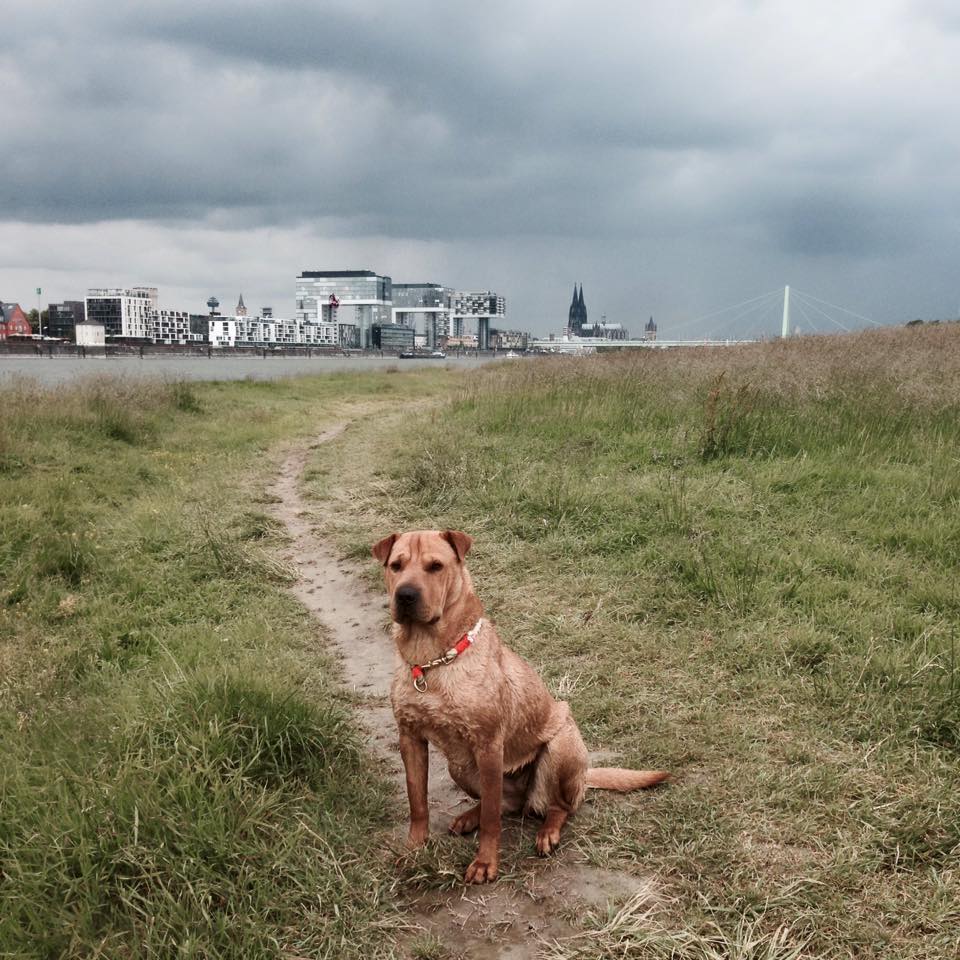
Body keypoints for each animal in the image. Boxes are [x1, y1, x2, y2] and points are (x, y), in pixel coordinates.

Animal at [370, 528, 668, 880]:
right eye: (396, 566)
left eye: (435, 566)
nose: (405, 595)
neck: (431, 661)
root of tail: (585, 776)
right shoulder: (410, 738)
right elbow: (417, 803)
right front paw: (414, 849)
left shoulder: (488, 745)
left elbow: (491, 823)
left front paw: (485, 863)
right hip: (460, 767)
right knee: (504, 804)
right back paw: (469, 816)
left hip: (559, 747)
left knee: (558, 806)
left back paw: (547, 833)